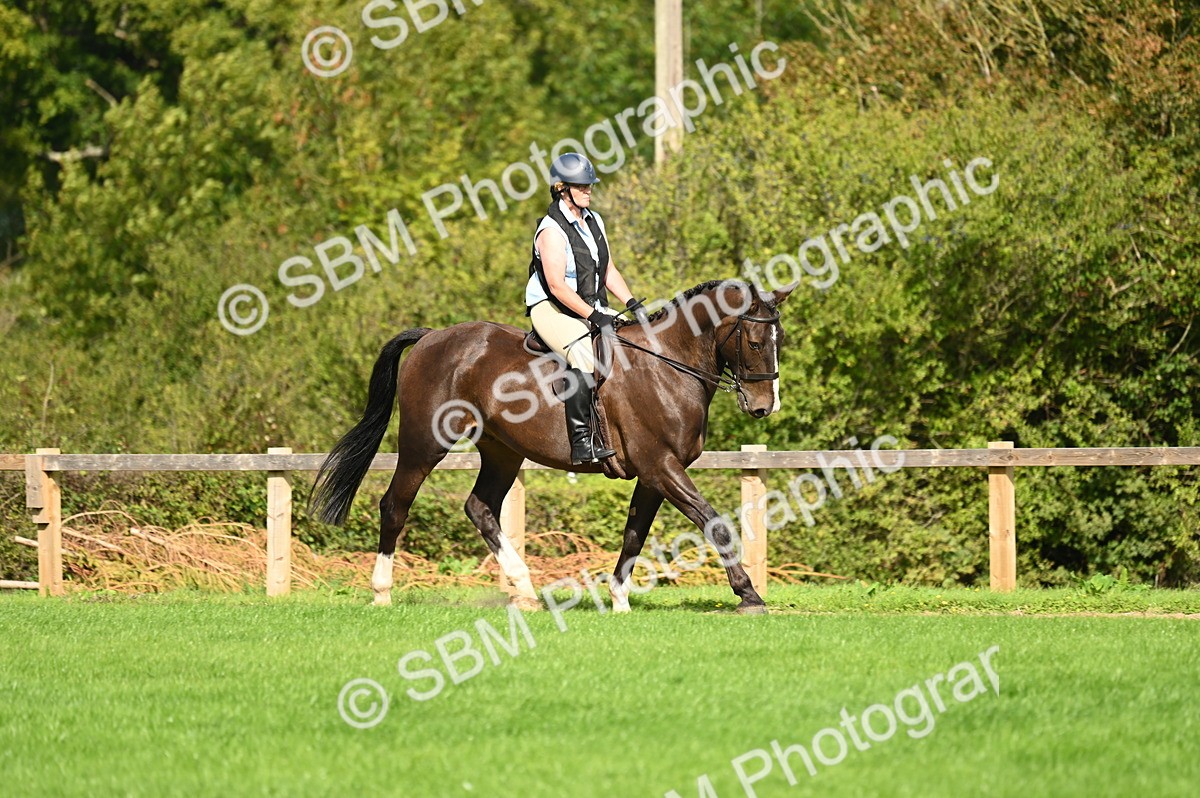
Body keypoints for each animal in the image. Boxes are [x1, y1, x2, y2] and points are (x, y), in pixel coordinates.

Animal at [308, 279, 794, 614]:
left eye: (780, 341)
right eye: (755, 342)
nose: (764, 407)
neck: (667, 367)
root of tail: (431, 337)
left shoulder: (654, 474)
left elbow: (634, 533)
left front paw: (618, 599)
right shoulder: (661, 466)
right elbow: (714, 523)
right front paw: (749, 595)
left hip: (503, 451)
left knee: (480, 508)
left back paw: (524, 591)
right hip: (424, 443)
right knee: (395, 505)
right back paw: (382, 592)